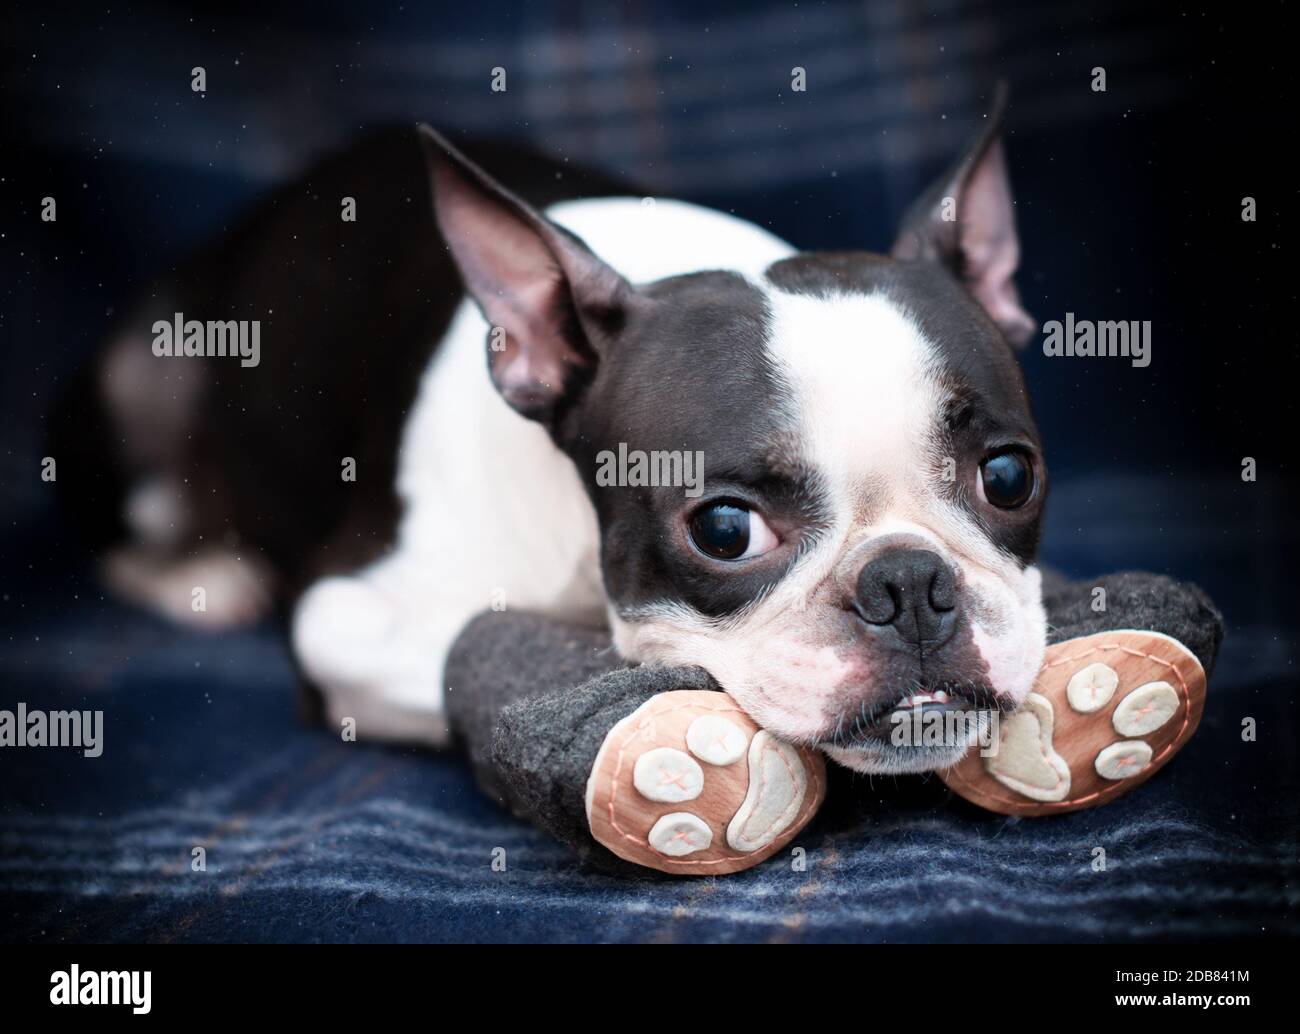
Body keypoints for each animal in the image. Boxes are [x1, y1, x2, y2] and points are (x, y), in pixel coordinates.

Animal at [76, 94, 1040, 775]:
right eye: (726, 530)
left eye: (1009, 478)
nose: (908, 582)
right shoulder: (339, 619)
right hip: (144, 371)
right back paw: (202, 575)